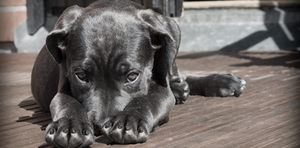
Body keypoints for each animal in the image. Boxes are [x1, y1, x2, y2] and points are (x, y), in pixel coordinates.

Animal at [31, 0, 246, 147]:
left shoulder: (161, 89)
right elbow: (67, 102)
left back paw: (221, 82)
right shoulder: (63, 87)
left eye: (132, 76)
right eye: (81, 76)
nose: (100, 125)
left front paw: (129, 120)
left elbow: (147, 100)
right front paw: (69, 125)